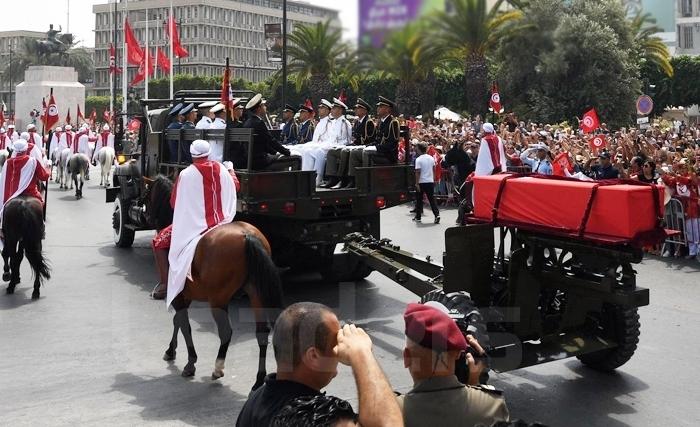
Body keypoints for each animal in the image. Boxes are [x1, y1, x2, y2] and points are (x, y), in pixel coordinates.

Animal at [149, 176, 284, 390]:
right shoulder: (184, 295)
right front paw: (171, 351)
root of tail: (246, 235)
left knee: (226, 331)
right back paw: (258, 379)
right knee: (262, 332)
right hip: (256, 293)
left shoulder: (178, 294)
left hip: (218, 299)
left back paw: (218, 368)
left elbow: (183, 324)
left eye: (149, 193)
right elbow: (178, 321)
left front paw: (190, 363)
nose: (147, 215)